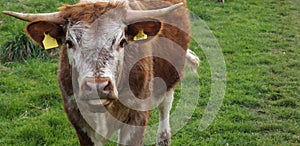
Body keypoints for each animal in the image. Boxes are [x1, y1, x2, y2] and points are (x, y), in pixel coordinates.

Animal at [2, 0, 199, 145]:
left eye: (121, 41)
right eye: (69, 42)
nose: (96, 86)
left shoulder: (137, 118)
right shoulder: (79, 121)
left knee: (165, 106)